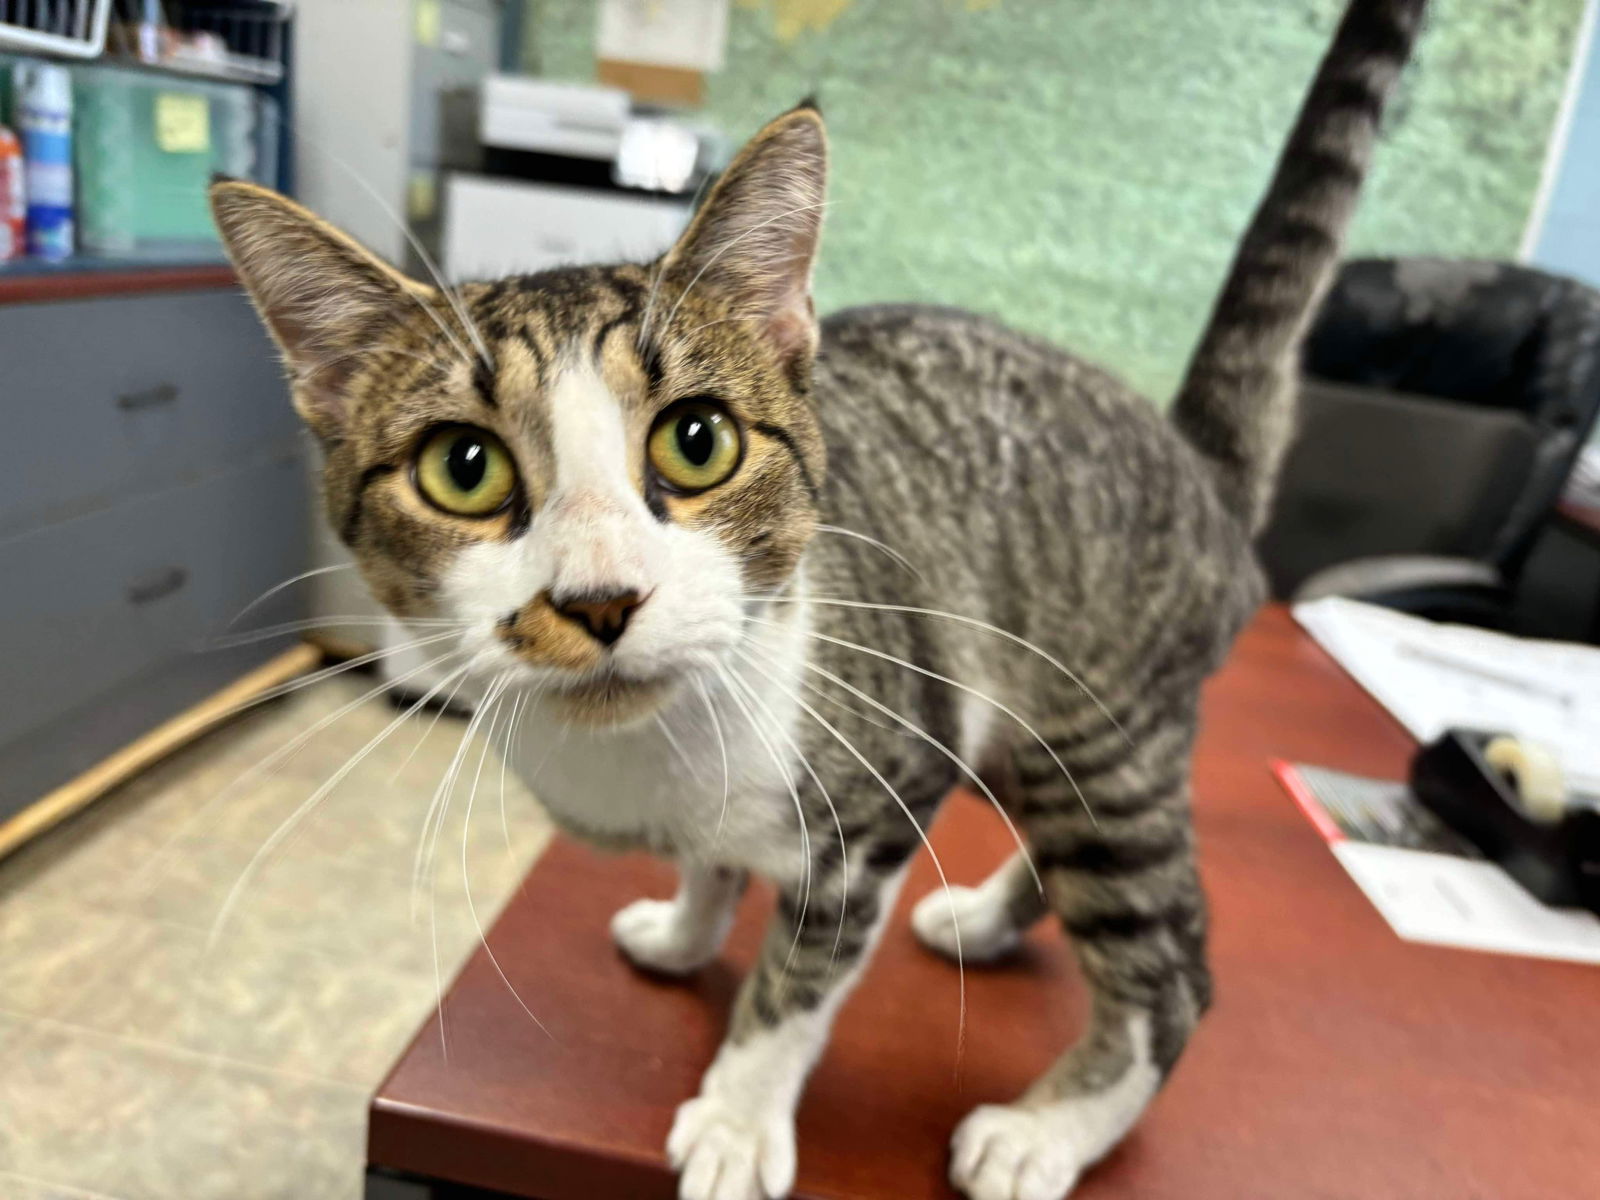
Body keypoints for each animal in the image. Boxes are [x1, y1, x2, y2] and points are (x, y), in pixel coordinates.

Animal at [212, 4, 1427, 1196]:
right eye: (462, 468)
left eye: (697, 441)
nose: (599, 598)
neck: (651, 753)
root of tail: (1192, 460)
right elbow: (711, 864)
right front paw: (686, 931)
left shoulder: (884, 793)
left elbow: (799, 979)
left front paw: (737, 1116)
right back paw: (987, 918)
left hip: (1104, 730)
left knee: (1170, 968)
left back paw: (1048, 1130)